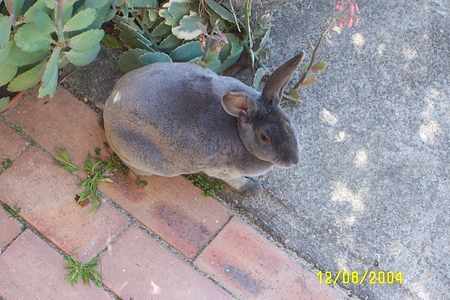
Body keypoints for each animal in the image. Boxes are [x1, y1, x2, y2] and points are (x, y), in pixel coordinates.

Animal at [103, 51, 304, 197]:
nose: (294, 160)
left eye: (288, 122)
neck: (238, 130)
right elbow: (238, 181)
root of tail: (111, 101)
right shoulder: (223, 171)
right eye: (264, 137)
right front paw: (253, 190)